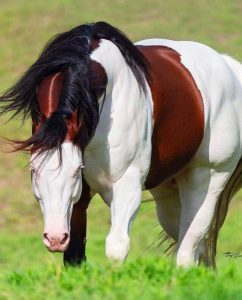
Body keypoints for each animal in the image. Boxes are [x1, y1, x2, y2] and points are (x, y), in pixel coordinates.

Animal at [1, 21, 242, 268]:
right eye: (33, 170)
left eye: (76, 171)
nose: (55, 238)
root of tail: (228, 66)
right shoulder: (79, 197)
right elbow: (75, 255)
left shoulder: (127, 183)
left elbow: (117, 247)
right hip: (169, 190)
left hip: (207, 179)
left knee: (188, 247)